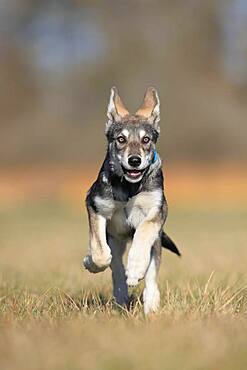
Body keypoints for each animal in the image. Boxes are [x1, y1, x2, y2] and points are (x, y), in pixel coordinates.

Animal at [83, 87, 179, 316]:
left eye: (146, 140)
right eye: (120, 139)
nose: (134, 161)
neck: (129, 188)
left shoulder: (157, 210)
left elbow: (144, 231)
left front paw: (135, 268)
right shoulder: (95, 205)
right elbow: (100, 252)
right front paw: (90, 262)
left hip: (156, 242)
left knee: (151, 274)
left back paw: (150, 303)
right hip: (115, 239)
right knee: (116, 266)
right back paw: (121, 295)